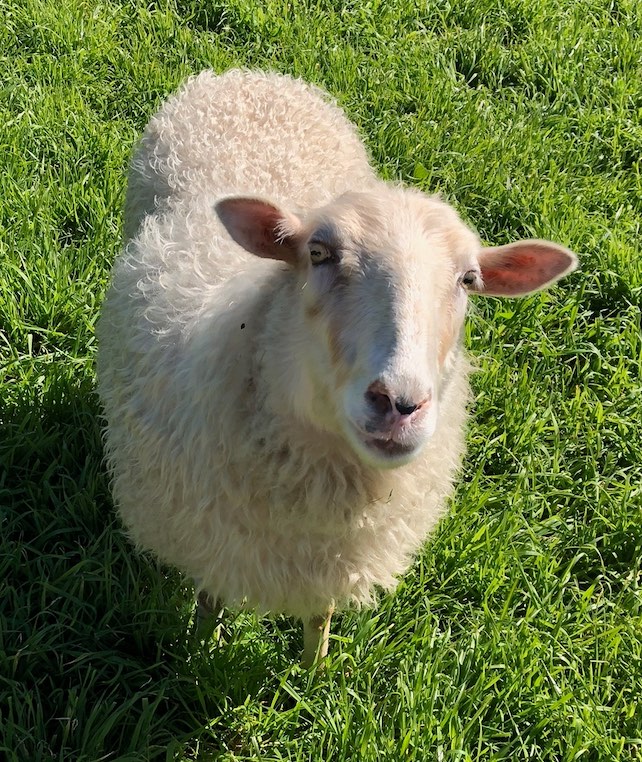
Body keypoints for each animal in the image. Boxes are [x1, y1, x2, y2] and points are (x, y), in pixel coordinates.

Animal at [96, 69, 577, 666]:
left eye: (469, 279)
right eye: (319, 252)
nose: (399, 403)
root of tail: (253, 76)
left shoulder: (336, 556)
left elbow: (320, 615)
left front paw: (313, 670)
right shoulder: (208, 531)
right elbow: (209, 597)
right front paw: (200, 650)